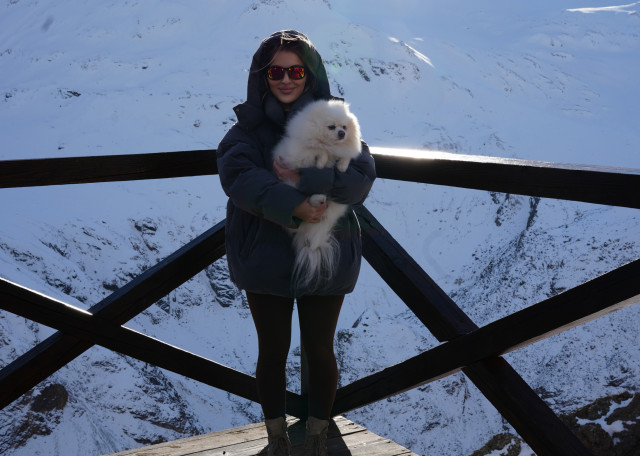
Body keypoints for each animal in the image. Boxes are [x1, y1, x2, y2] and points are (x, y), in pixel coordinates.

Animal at [272, 99, 362, 292]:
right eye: (332, 127)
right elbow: (318, 150)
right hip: (291, 185)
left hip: (337, 203)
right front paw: (322, 161)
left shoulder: (344, 150)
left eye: (344, 126)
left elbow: (345, 155)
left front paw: (342, 165)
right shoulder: (300, 153)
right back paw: (316, 199)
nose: (342, 133)